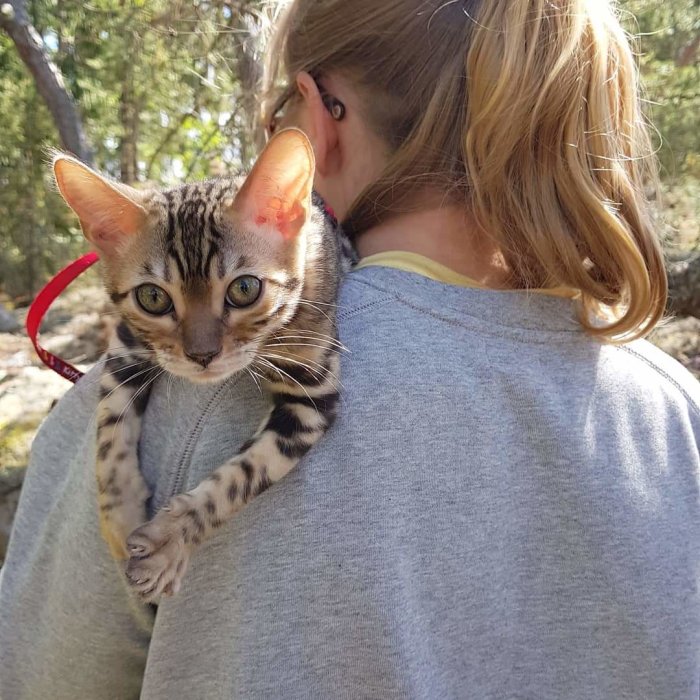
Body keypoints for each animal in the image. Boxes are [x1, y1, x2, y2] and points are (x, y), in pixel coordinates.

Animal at [52, 130, 352, 600]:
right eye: (152, 298)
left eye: (245, 289)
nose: (202, 355)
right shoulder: (127, 343)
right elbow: (109, 427)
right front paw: (119, 517)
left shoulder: (312, 398)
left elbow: (242, 475)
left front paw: (171, 540)